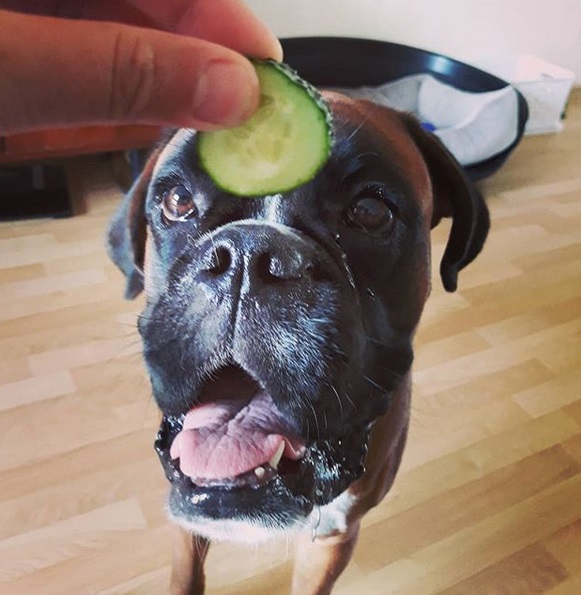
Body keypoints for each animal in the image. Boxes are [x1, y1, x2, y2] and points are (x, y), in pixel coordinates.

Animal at [106, 91, 488, 592]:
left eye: (371, 212)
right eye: (177, 200)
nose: (248, 254)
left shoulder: (333, 535)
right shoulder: (186, 524)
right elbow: (185, 575)